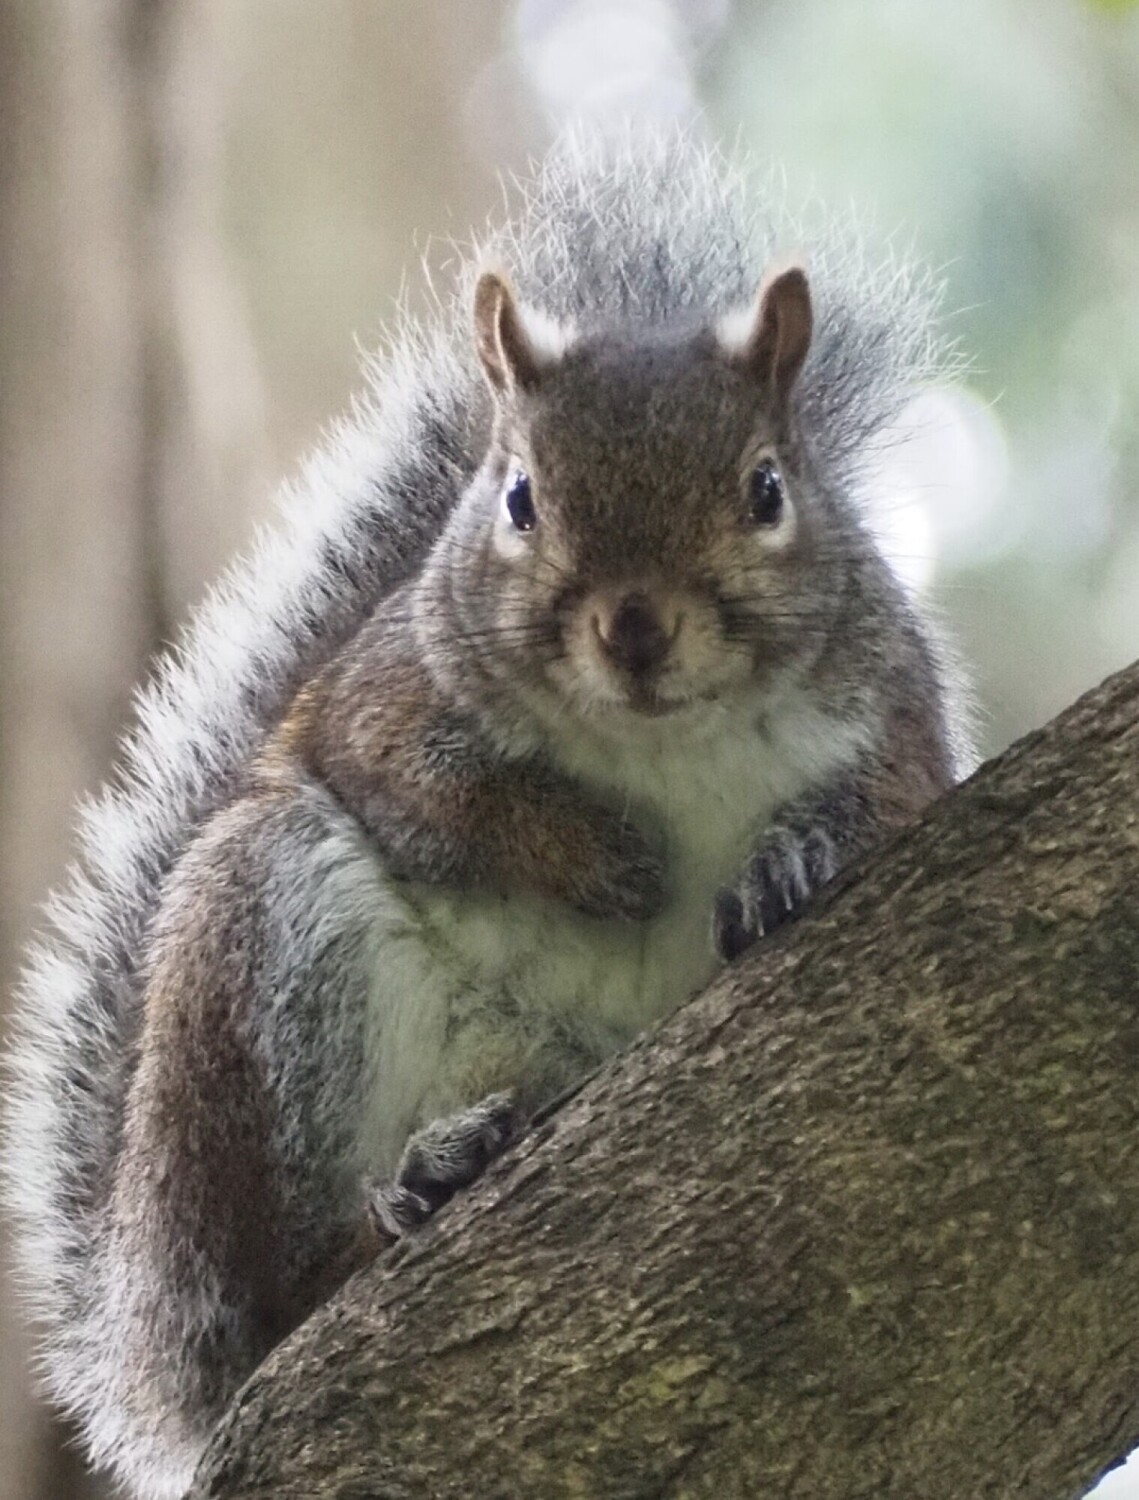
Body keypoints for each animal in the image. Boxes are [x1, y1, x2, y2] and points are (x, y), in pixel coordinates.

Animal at [2, 131, 971, 1499]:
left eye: (766, 489)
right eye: (517, 498)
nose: (634, 627)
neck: (656, 738)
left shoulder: (892, 714)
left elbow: (889, 808)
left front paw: (786, 866)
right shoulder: (385, 699)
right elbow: (422, 787)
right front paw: (605, 861)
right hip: (261, 949)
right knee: (278, 1299)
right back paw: (408, 1195)